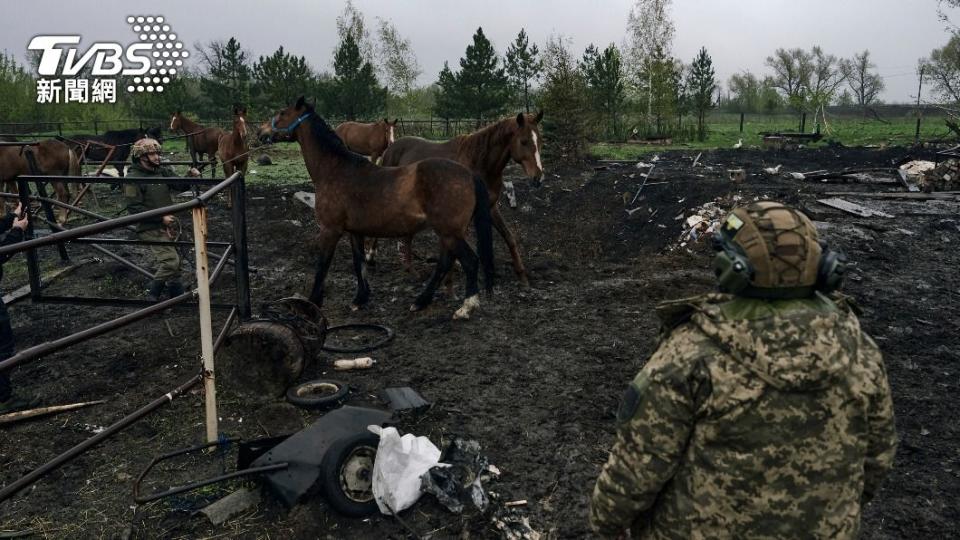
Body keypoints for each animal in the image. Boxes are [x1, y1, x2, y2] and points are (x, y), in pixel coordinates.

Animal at [256, 97, 496, 318]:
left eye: (282, 112)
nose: (260, 131)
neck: (335, 170)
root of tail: (468, 174)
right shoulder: (355, 231)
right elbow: (359, 263)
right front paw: (360, 299)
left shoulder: (330, 230)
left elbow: (322, 265)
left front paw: (313, 303)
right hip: (448, 233)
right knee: (445, 262)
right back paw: (421, 302)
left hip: (449, 232)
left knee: (469, 261)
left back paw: (466, 307)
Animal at [378, 111, 544, 284]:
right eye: (523, 141)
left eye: (540, 141)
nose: (538, 177)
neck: (479, 163)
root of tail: (390, 148)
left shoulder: (490, 207)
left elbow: (509, 237)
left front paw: (522, 275)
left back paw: (409, 269)